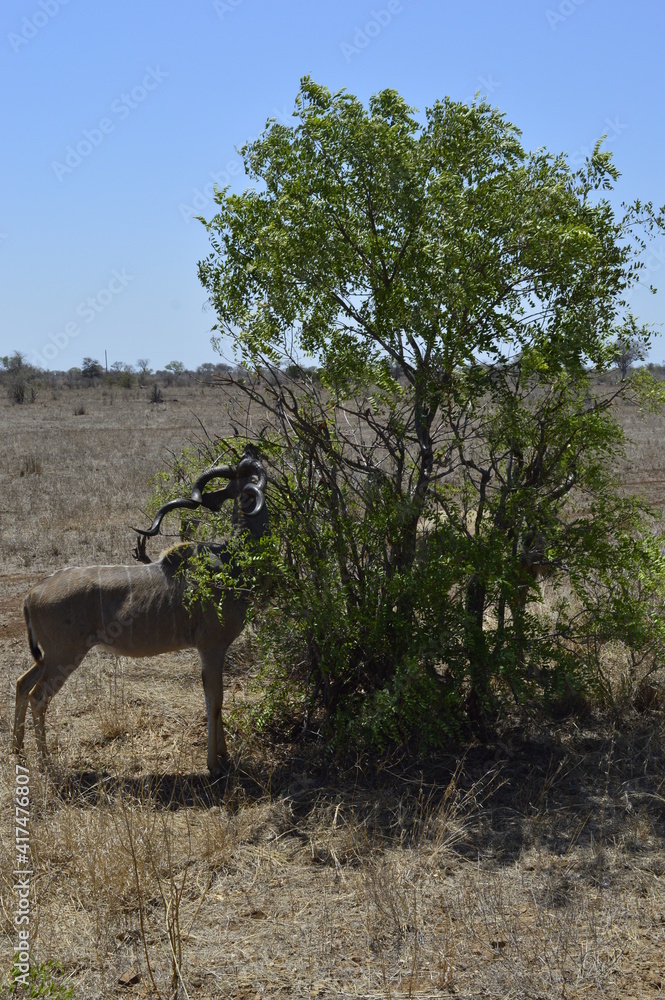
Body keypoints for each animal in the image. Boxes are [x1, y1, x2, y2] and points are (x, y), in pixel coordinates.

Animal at [13, 446, 269, 777]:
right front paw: (214, 764)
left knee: (21, 684)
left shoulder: (213, 650)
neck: (230, 559)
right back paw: (46, 763)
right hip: (63, 656)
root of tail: (33, 593)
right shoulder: (211, 647)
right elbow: (214, 700)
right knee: (37, 696)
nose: (255, 452)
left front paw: (223, 756)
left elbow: (215, 700)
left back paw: (18, 752)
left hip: (48, 657)